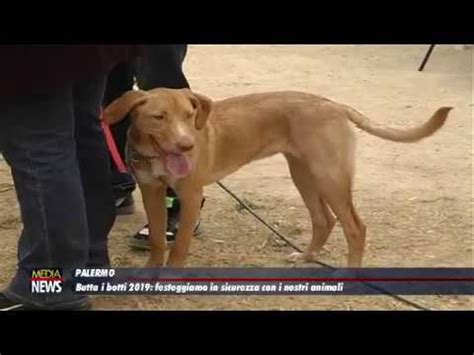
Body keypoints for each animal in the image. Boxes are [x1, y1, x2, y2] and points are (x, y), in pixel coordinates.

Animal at [103, 89, 452, 268]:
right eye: (159, 117)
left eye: (189, 117)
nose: (187, 145)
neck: (154, 154)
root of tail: (334, 104)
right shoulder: (151, 191)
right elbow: (158, 240)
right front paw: (150, 276)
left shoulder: (189, 196)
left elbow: (179, 247)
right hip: (303, 175)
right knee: (324, 220)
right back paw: (306, 257)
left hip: (330, 178)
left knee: (356, 227)